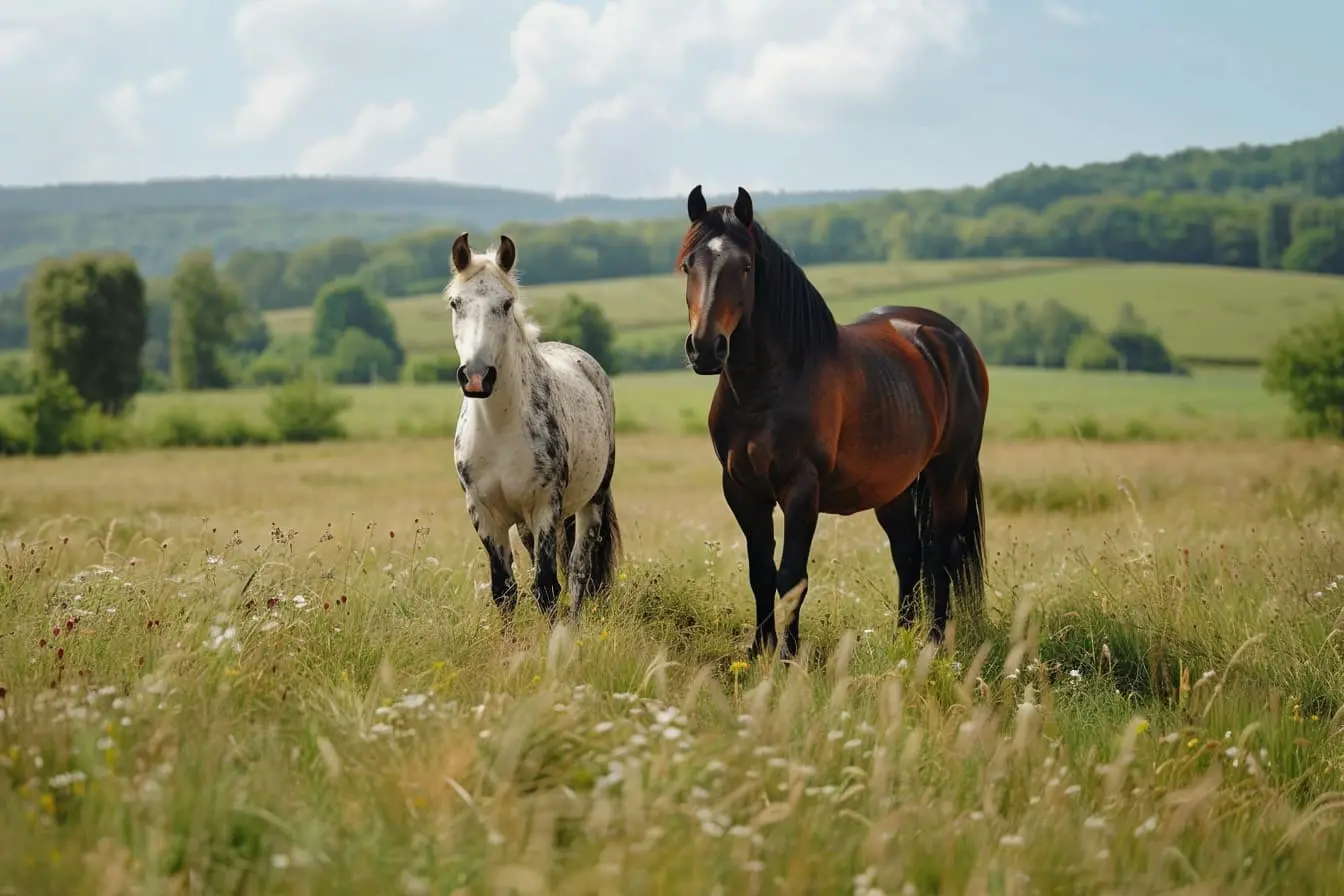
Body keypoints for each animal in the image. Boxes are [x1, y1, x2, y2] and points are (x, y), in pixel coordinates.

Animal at [446, 233, 623, 623]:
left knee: (579, 570)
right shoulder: (484, 514)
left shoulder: (545, 508)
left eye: (506, 303)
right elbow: (504, 591)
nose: (477, 377)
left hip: (592, 500)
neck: (499, 427)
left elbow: (547, 588)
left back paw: (571, 626)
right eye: (455, 303)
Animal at [677, 185, 994, 663]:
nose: (706, 349)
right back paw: (903, 638)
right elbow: (760, 572)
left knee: (942, 551)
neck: (767, 387)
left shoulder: (801, 489)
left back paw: (934, 642)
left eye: (746, 267)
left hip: (949, 472)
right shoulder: (741, 488)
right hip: (894, 485)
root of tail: (951, 340)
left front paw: (789, 657)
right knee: (908, 553)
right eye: (688, 264)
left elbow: (791, 577)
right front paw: (759, 651)